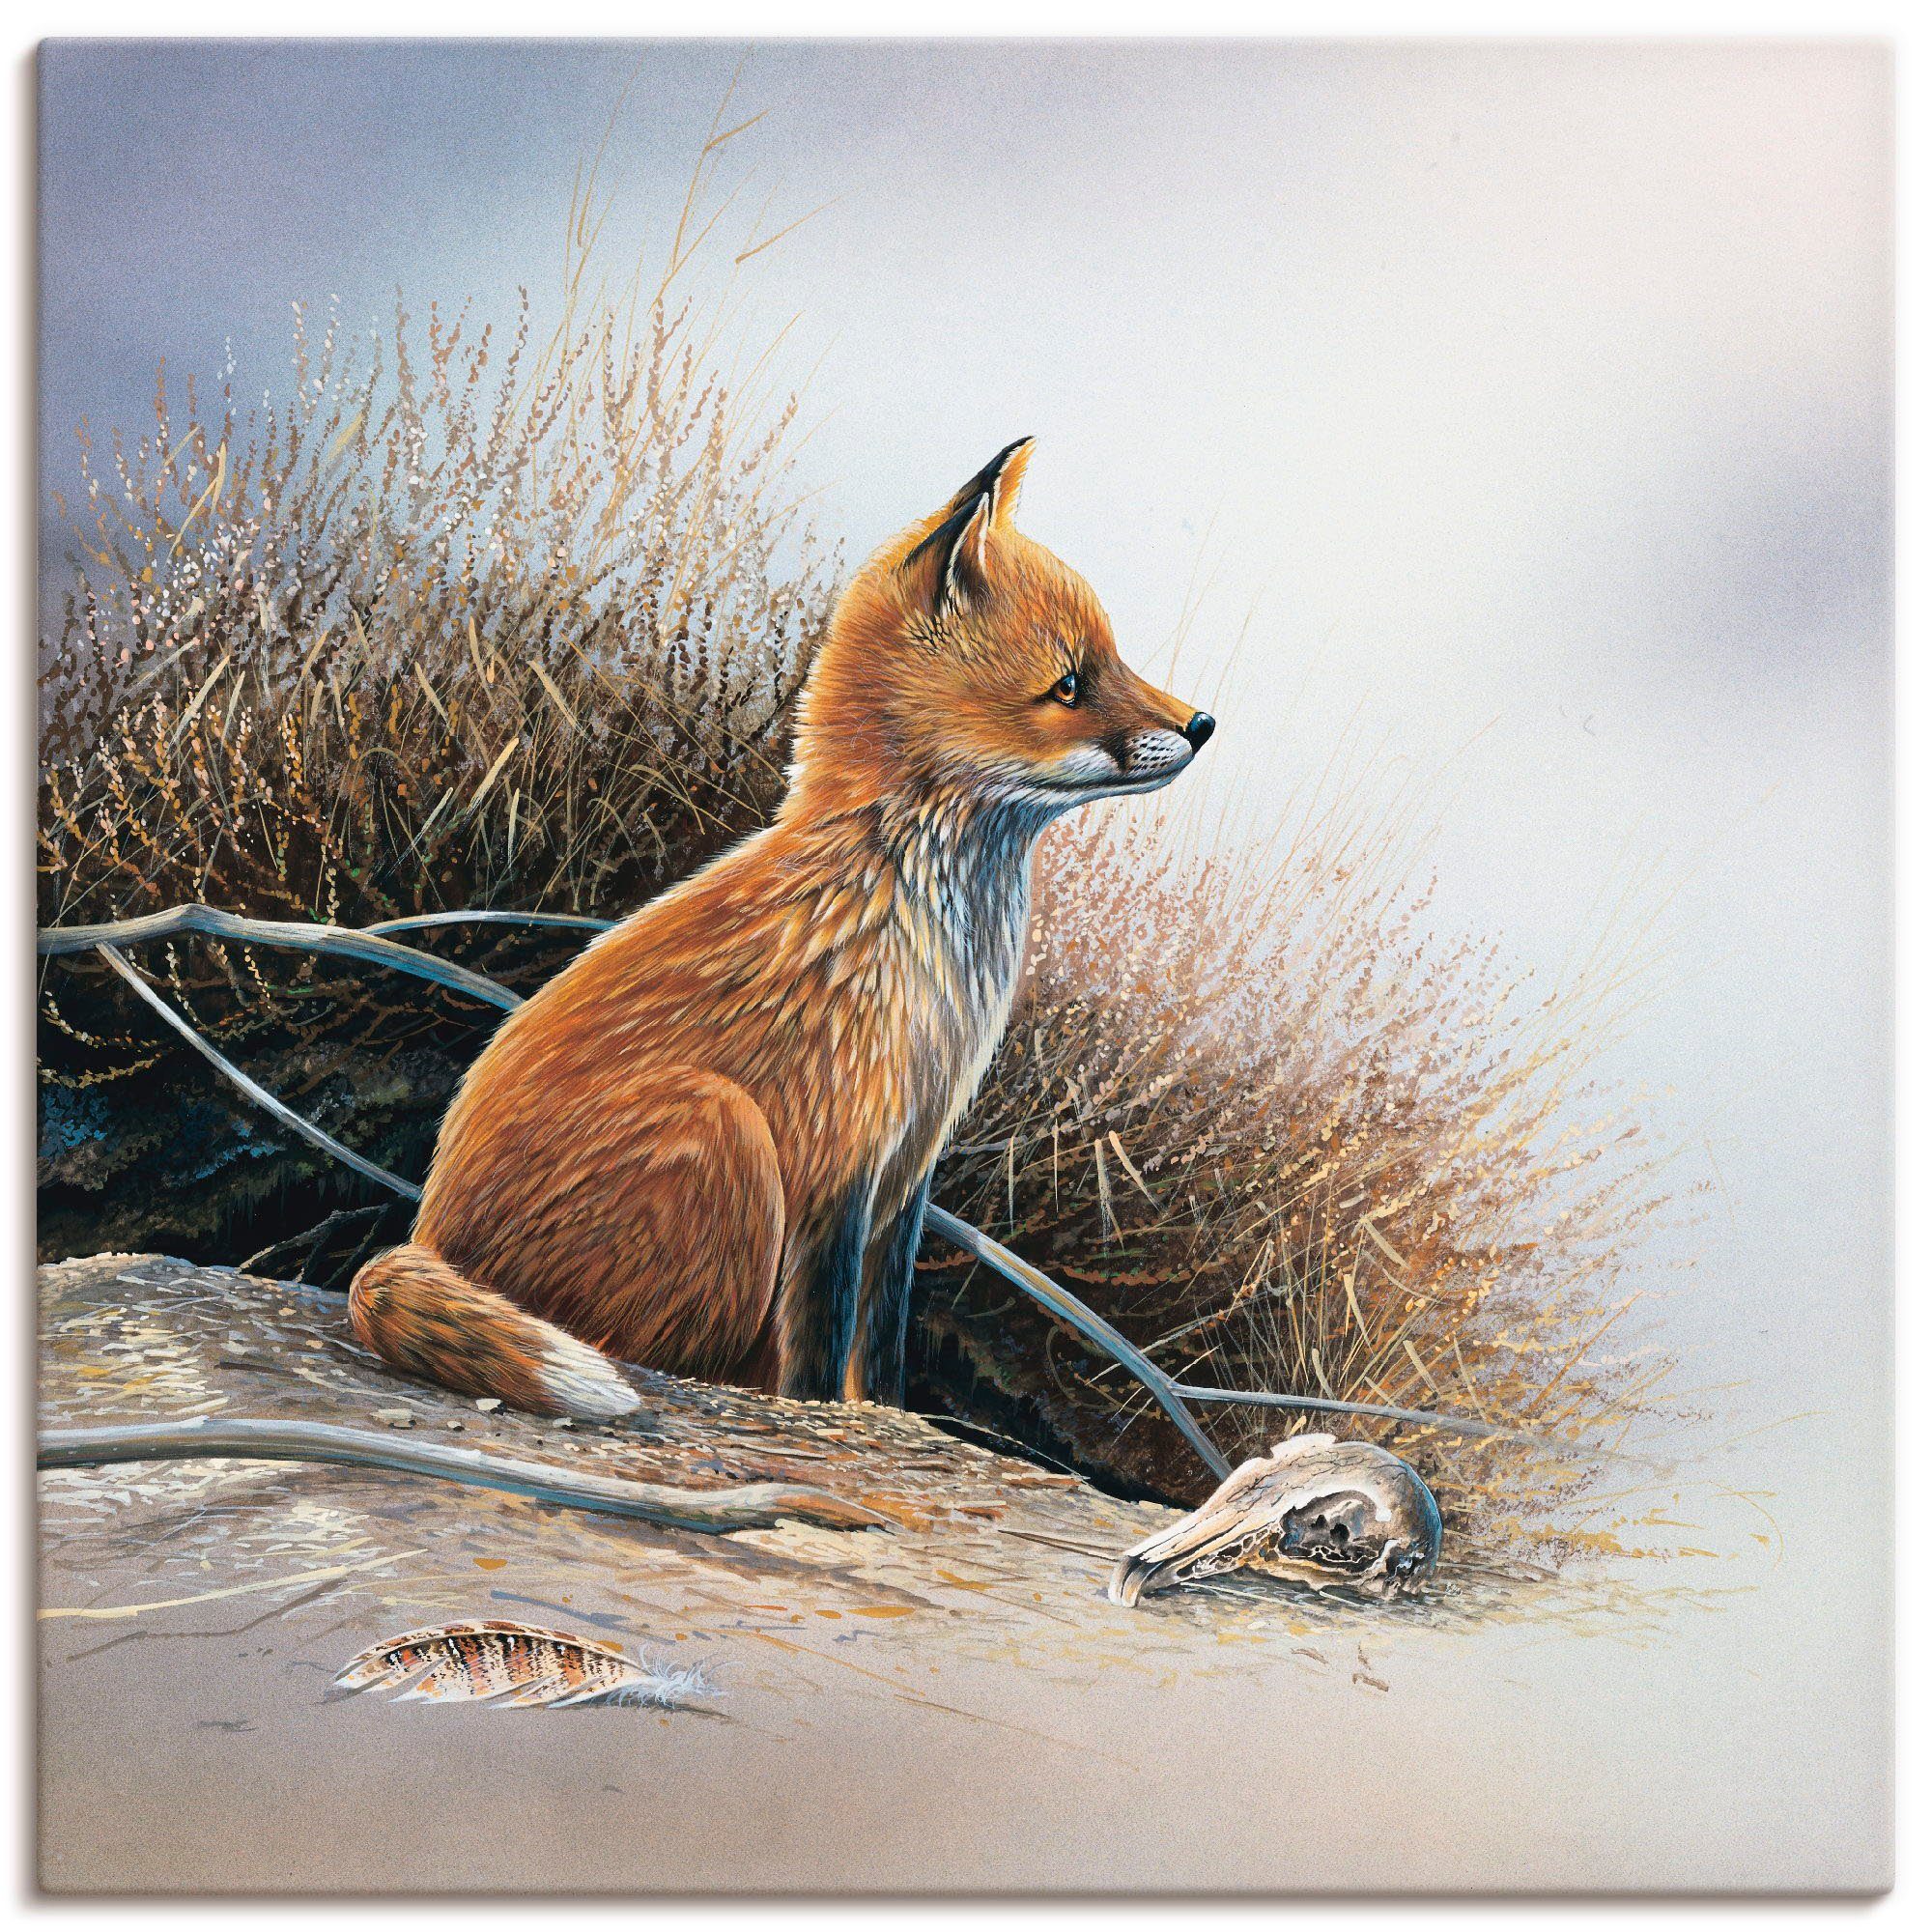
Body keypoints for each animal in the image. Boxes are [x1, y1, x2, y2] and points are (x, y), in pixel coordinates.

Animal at [348, 439, 1215, 1419]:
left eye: (1114, 658)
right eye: (1068, 685)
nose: (1202, 724)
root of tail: (426, 1233)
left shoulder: (907, 1177)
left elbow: (881, 1349)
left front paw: (886, 1420)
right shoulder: (838, 1168)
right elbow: (820, 1354)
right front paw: (828, 1422)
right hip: (723, 1132)